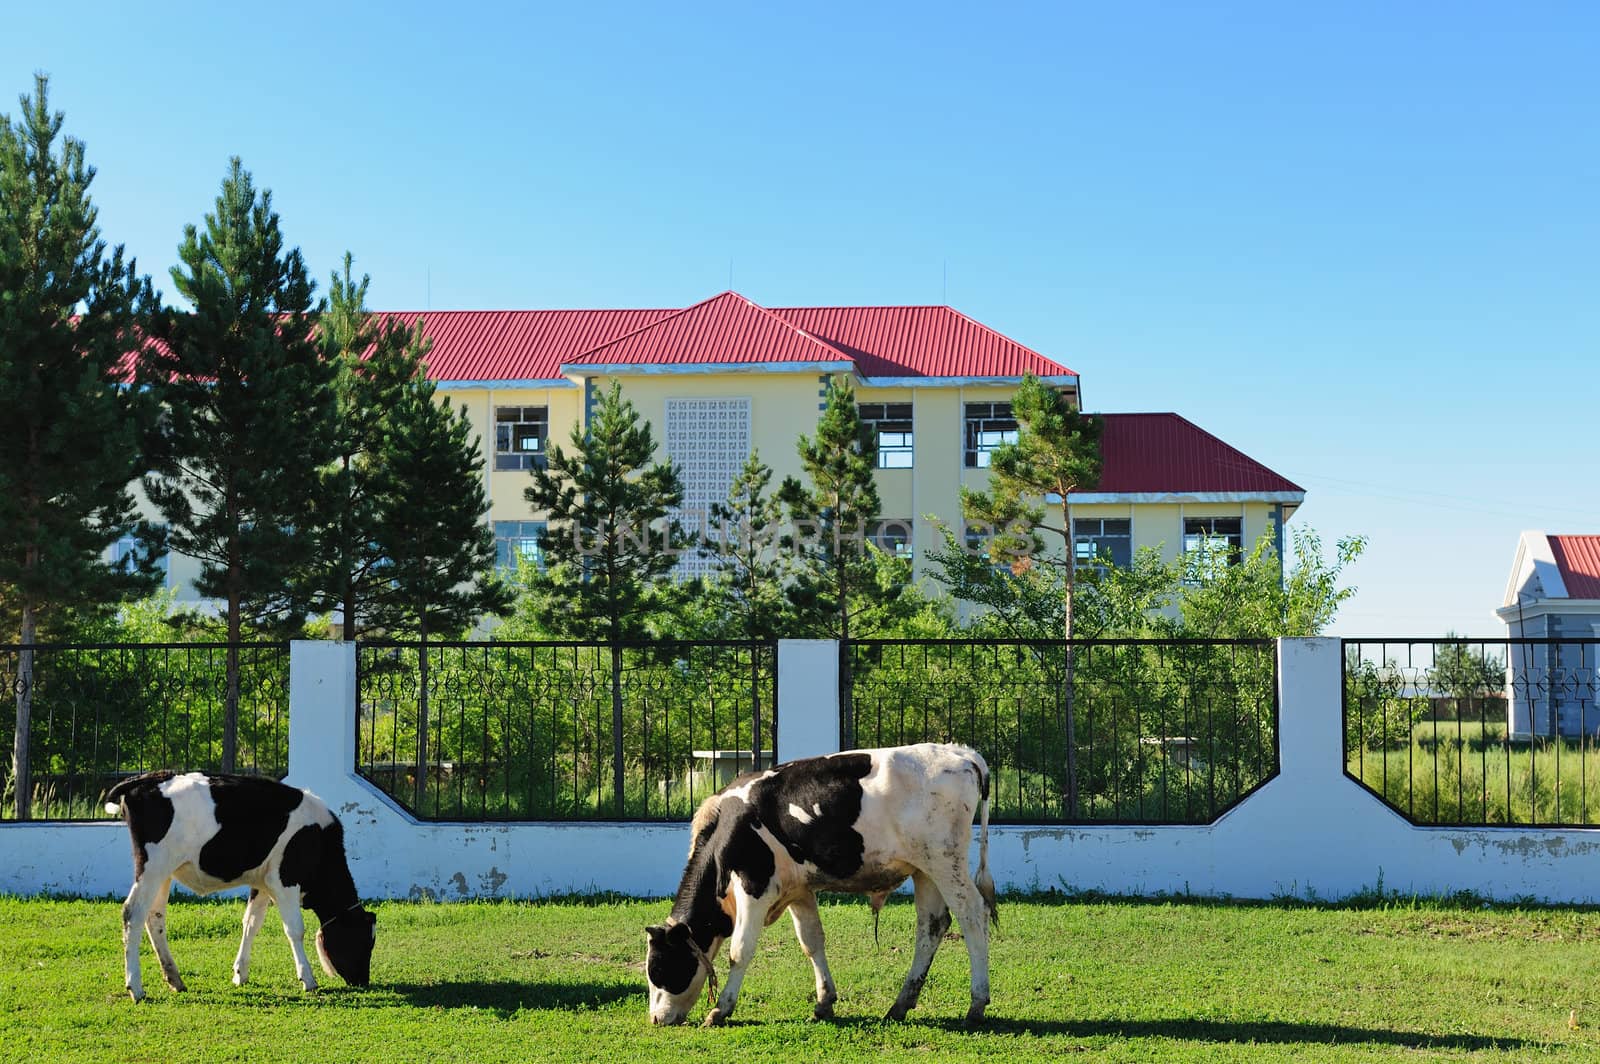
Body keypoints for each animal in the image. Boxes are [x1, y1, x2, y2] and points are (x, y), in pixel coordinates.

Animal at [104, 768, 376, 998]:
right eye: (364, 941)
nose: (363, 980)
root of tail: (149, 777)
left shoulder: (263, 882)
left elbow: (251, 924)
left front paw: (240, 974)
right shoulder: (285, 879)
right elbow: (295, 929)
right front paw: (308, 979)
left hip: (164, 873)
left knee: (154, 917)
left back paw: (175, 979)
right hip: (153, 866)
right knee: (132, 913)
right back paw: (136, 988)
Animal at [643, 742, 992, 1024]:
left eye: (658, 969)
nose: (656, 1019)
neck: (728, 830)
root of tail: (962, 753)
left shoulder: (754, 886)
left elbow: (740, 950)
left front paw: (720, 1009)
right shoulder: (798, 889)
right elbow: (812, 941)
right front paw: (824, 1001)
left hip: (946, 864)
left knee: (973, 916)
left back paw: (976, 1004)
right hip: (926, 871)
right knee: (931, 927)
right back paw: (900, 1004)